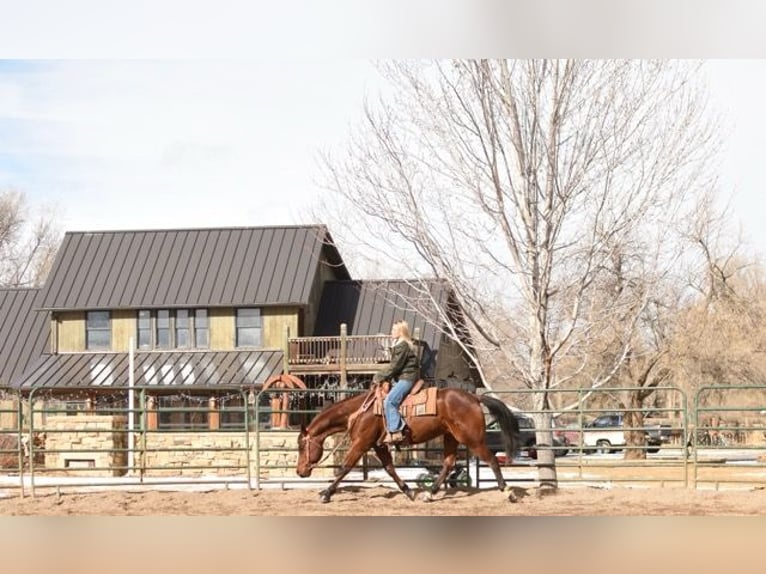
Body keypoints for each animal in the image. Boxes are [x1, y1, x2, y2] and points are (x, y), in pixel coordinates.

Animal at [296, 388, 520, 504]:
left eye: (300, 446)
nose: (300, 472)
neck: (360, 411)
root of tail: (474, 397)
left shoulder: (362, 443)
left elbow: (345, 467)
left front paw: (326, 494)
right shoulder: (379, 446)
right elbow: (389, 468)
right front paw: (409, 491)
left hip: (472, 439)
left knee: (491, 459)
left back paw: (508, 492)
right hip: (451, 437)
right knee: (448, 463)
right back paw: (429, 494)